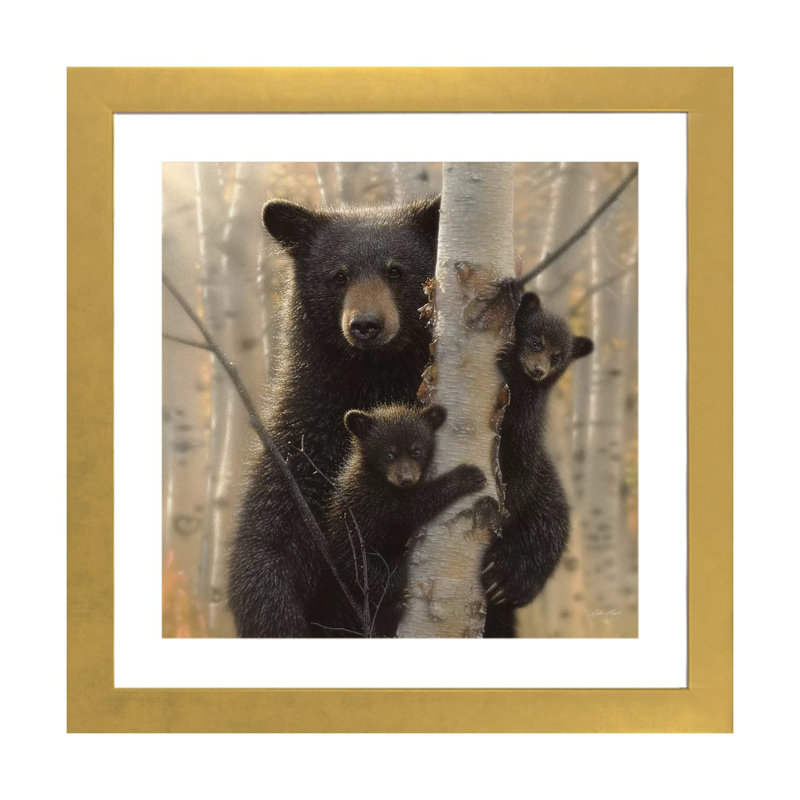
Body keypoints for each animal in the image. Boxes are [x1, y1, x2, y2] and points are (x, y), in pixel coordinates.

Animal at [228, 196, 441, 637]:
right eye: (338, 276)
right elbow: (265, 544)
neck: (373, 381)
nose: (366, 325)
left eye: (396, 270)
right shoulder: (301, 443)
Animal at [314, 403, 487, 637]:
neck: (377, 475)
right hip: (359, 558)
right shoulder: (375, 498)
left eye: (416, 451)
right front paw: (466, 476)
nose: (405, 479)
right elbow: (411, 507)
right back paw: (395, 603)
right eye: (389, 454)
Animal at [482, 291, 594, 638]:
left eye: (558, 356)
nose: (539, 370)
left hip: (549, 512)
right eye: (535, 341)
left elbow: (519, 475)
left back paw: (505, 579)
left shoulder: (525, 433)